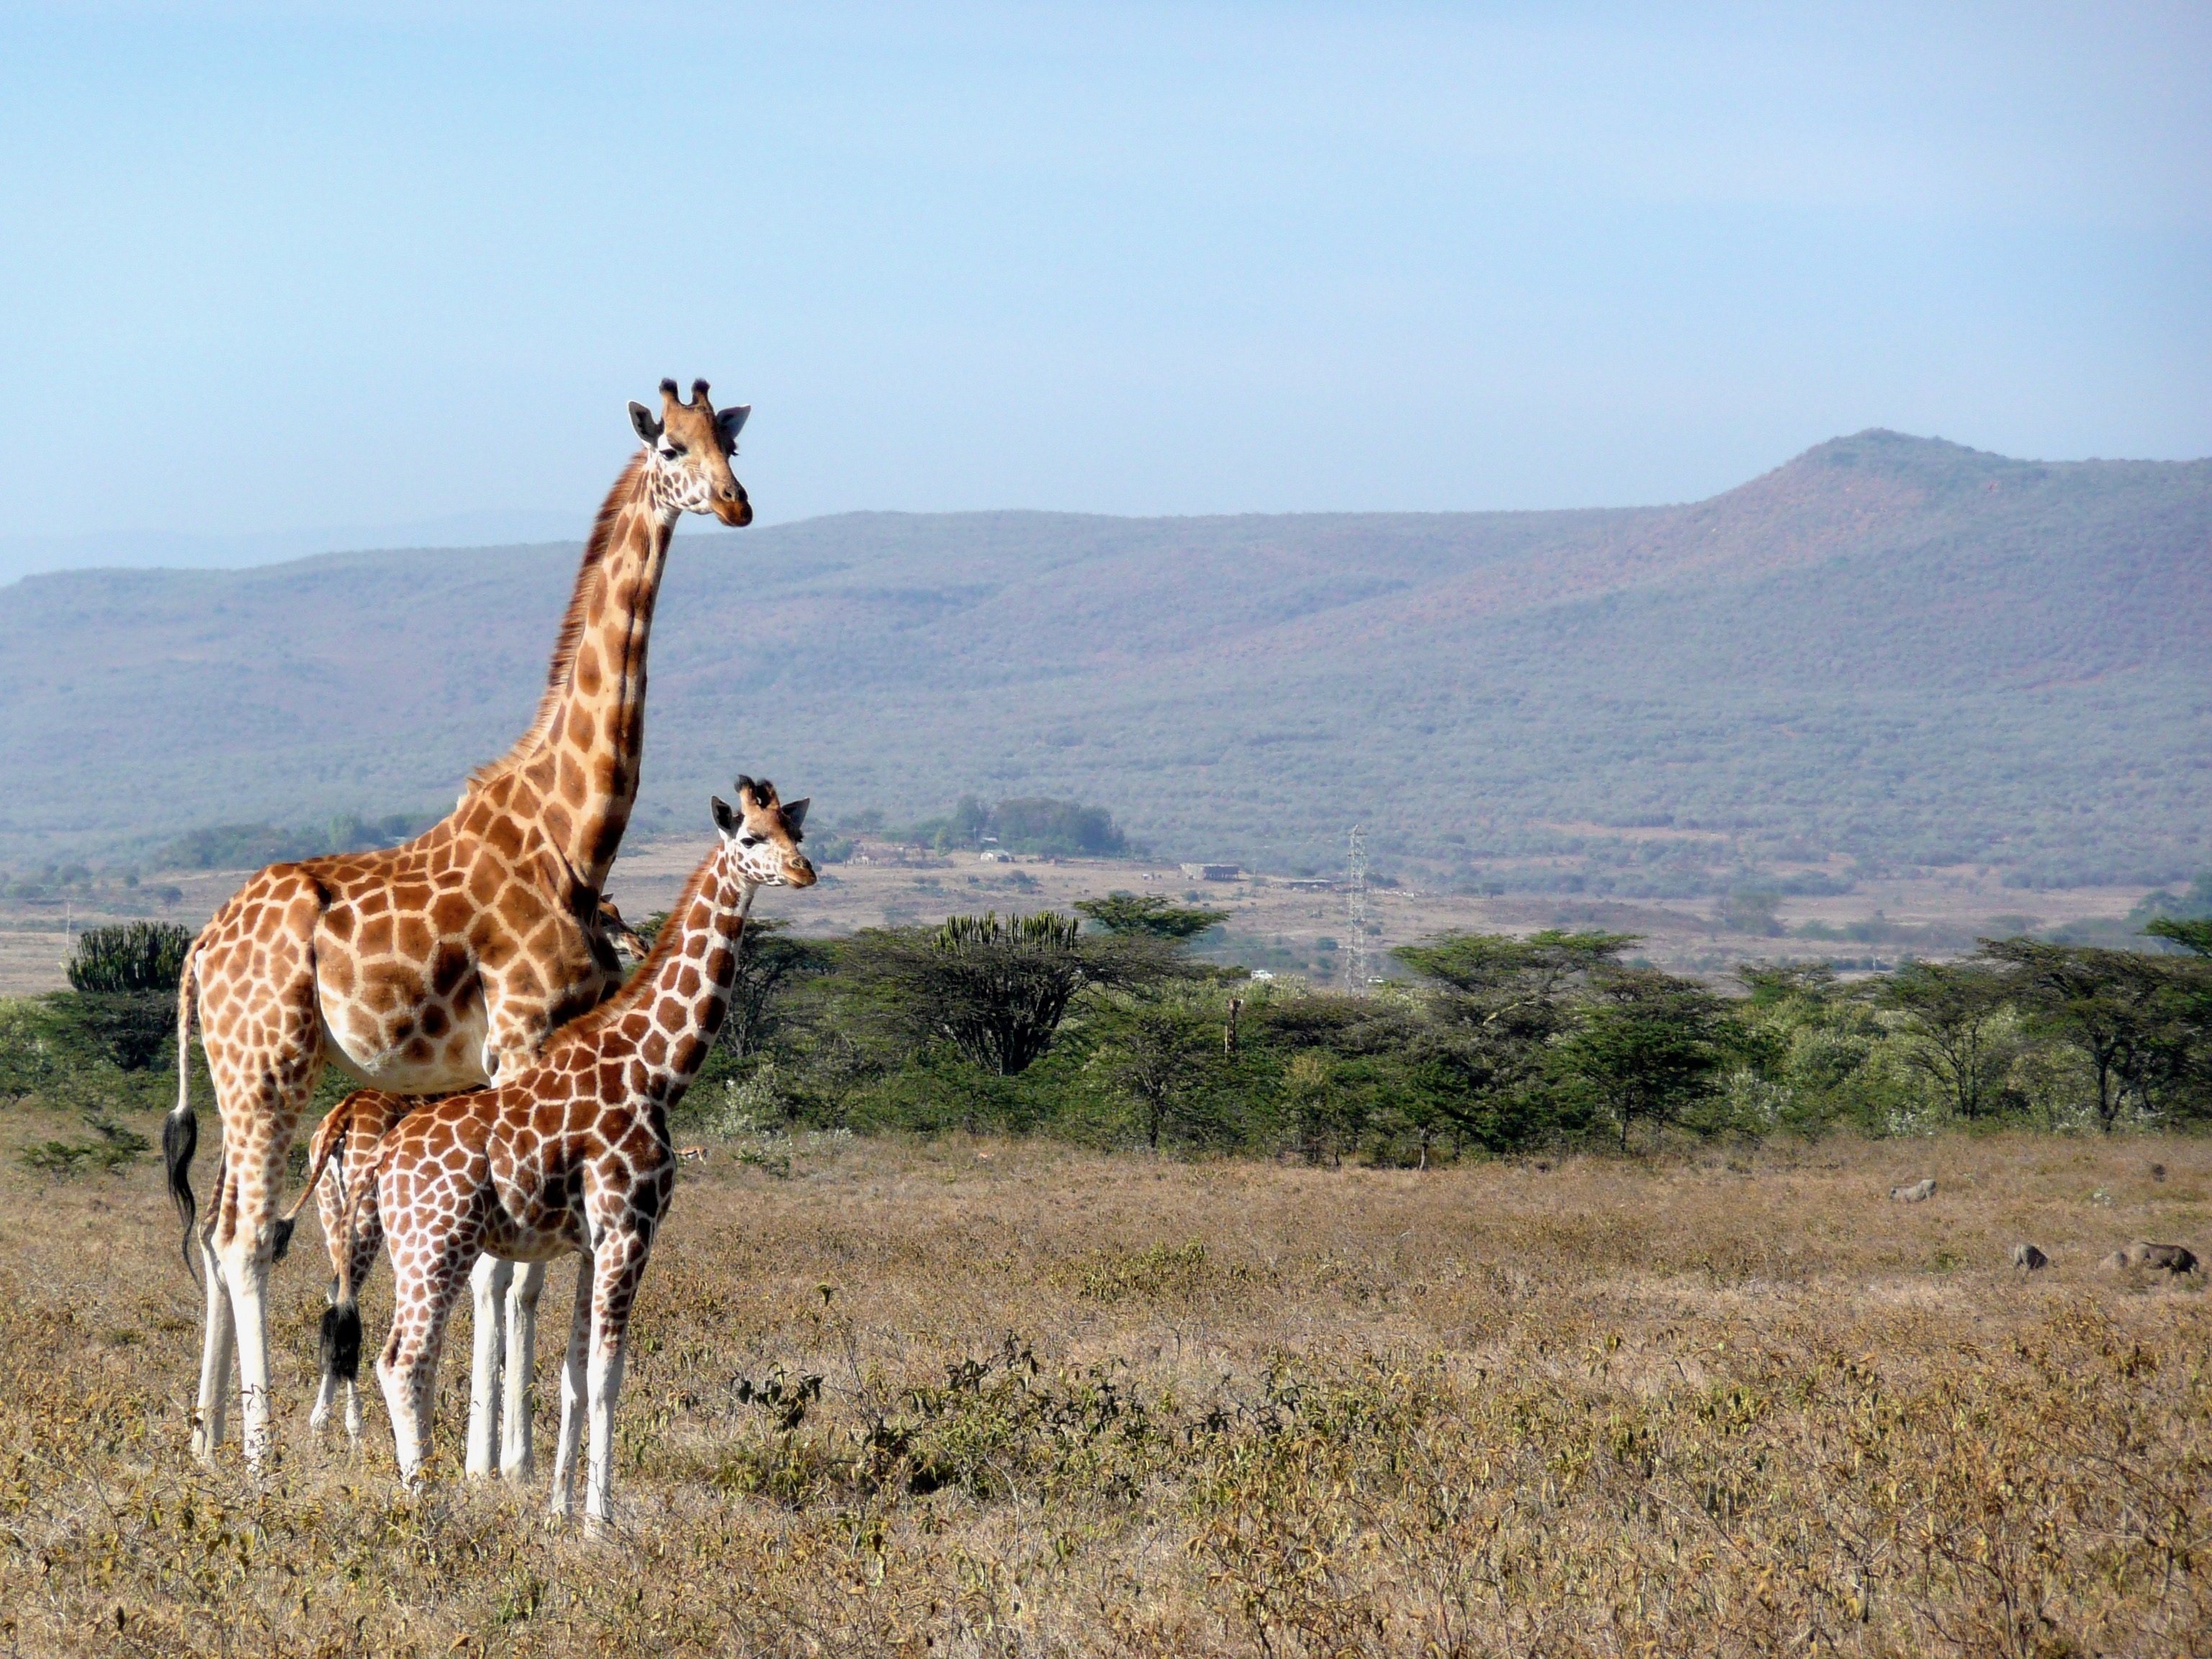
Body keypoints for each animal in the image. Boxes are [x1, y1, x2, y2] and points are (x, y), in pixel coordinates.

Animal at [287, 889, 646, 1460]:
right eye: (606, 918)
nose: (638, 946)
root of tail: (340, 1122)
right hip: (368, 1220)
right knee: (351, 1303)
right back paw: (351, 1424)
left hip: (332, 1211)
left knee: (335, 1294)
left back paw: (329, 1421)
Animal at [327, 778, 814, 1530]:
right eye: (751, 837)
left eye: (798, 831)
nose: (804, 872)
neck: (655, 1070)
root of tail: (382, 1161)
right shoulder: (629, 1229)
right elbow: (609, 1376)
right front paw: (600, 1523)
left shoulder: (591, 1242)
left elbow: (574, 1376)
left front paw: (560, 1511)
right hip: (436, 1245)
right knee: (403, 1360)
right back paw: (426, 1501)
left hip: (414, 1247)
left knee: (399, 1356)